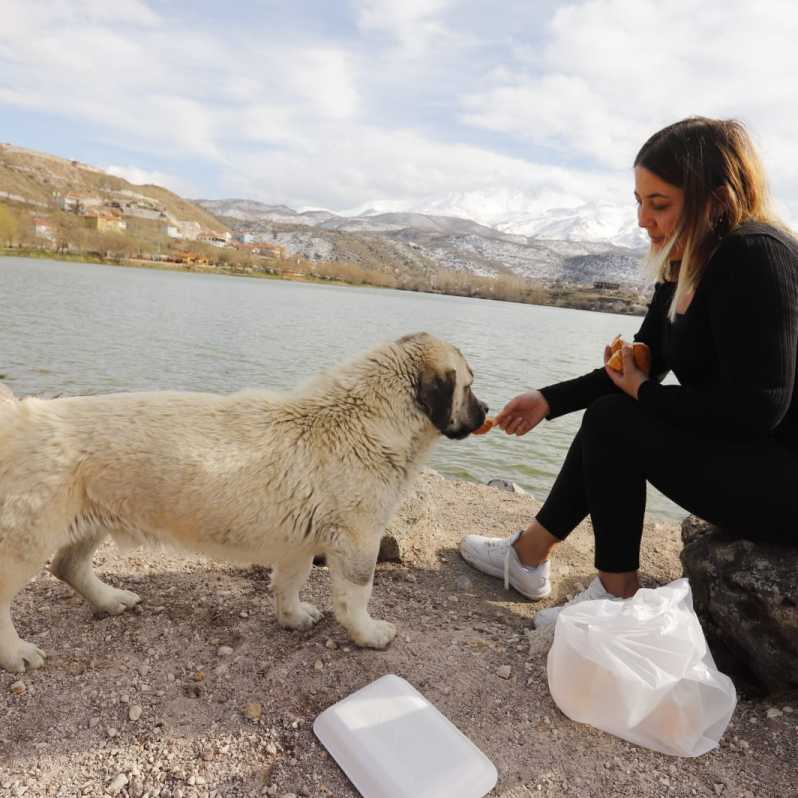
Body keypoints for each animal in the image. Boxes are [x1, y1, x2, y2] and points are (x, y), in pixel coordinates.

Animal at [0, 332, 488, 676]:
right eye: (468, 387)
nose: (486, 411)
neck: (361, 417)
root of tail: (23, 418)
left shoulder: (300, 541)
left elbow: (289, 582)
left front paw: (292, 616)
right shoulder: (358, 539)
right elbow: (356, 595)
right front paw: (368, 633)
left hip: (92, 517)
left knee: (69, 566)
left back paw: (109, 599)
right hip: (27, 539)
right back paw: (16, 653)